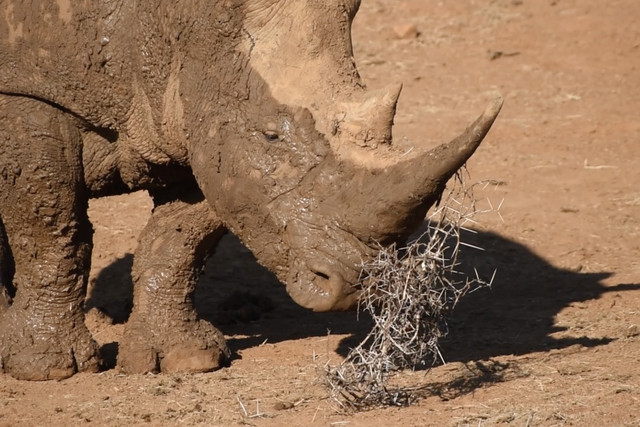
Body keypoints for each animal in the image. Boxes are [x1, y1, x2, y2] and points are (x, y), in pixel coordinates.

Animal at [0, 0, 502, 380]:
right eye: (270, 136)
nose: (351, 287)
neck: (172, 23)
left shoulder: (200, 114)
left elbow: (180, 240)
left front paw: (185, 361)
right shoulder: (25, 89)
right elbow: (50, 228)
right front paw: (48, 369)